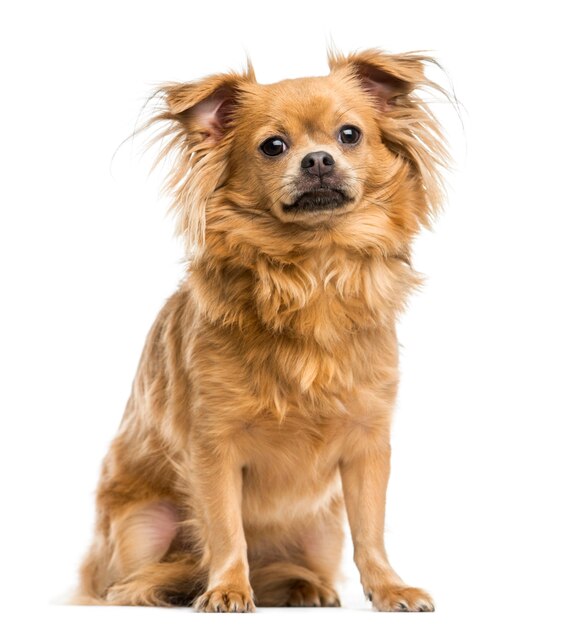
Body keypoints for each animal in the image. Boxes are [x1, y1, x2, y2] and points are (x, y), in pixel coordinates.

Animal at [74, 47, 450, 608]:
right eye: (273, 146)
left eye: (350, 135)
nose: (318, 160)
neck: (313, 272)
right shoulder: (213, 448)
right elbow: (226, 527)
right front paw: (227, 588)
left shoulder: (367, 445)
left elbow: (371, 530)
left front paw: (388, 587)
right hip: (144, 523)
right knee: (126, 584)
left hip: (319, 531)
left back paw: (301, 585)